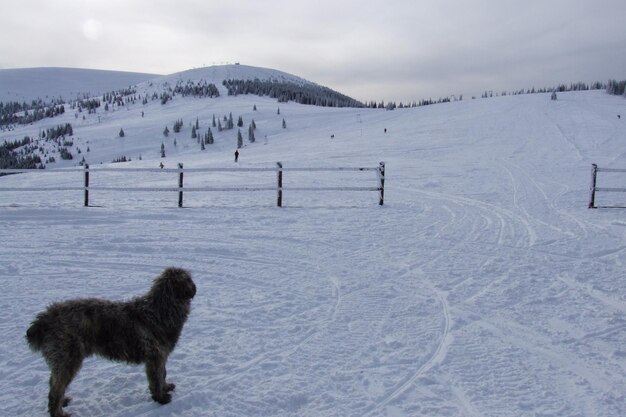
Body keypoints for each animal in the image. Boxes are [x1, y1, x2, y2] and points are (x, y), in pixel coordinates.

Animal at [25, 266, 195, 416]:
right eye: (188, 279)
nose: (194, 288)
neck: (162, 309)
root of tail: (44, 319)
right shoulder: (155, 357)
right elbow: (157, 378)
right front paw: (160, 398)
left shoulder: (161, 355)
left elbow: (163, 374)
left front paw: (165, 387)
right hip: (68, 359)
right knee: (55, 389)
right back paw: (58, 412)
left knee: (53, 383)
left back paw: (63, 401)